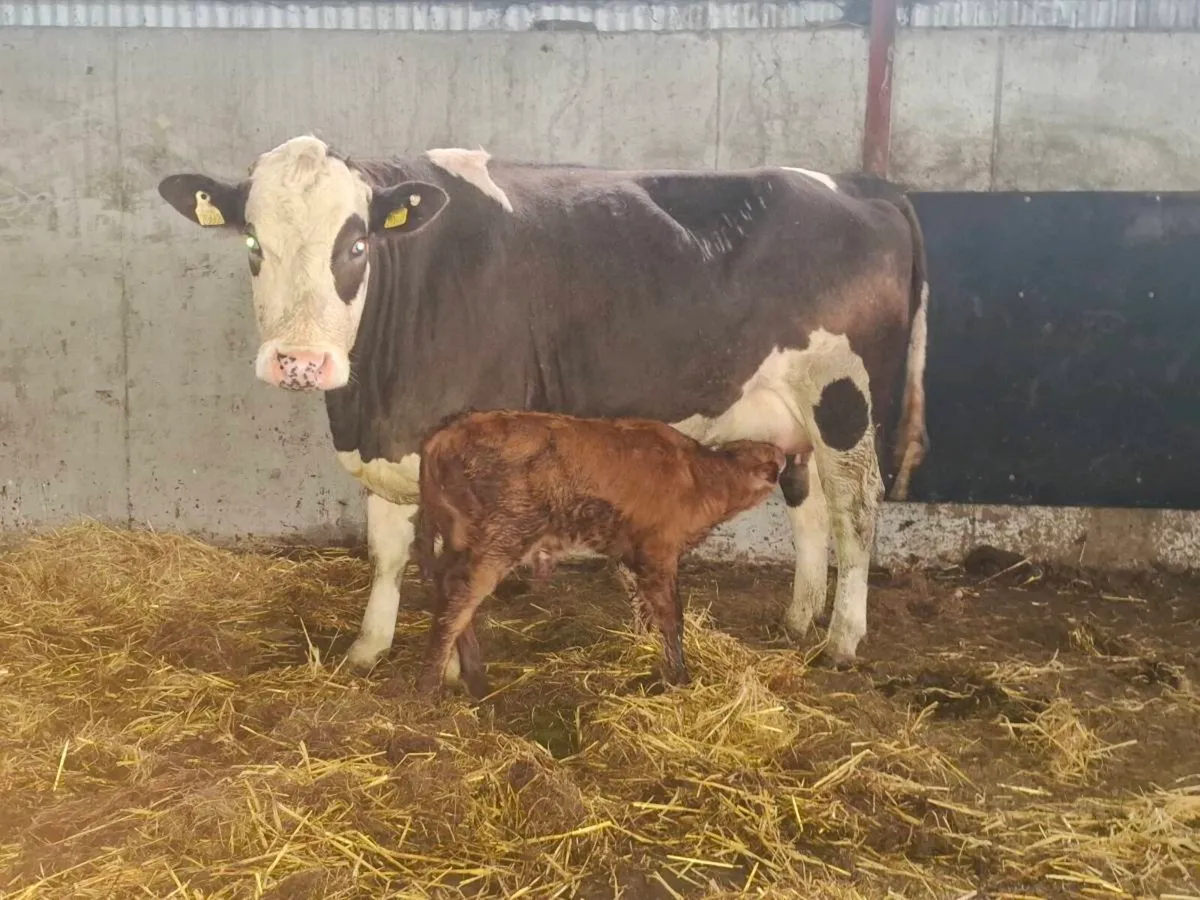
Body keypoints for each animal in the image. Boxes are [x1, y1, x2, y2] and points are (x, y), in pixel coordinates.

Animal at [409, 408, 788, 697]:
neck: (700, 477)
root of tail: (442, 438)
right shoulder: (659, 552)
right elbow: (671, 616)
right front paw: (680, 676)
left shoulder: (627, 552)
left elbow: (641, 606)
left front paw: (642, 646)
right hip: (500, 541)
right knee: (458, 601)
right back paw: (428, 688)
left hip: (460, 541)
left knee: (447, 592)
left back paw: (473, 678)